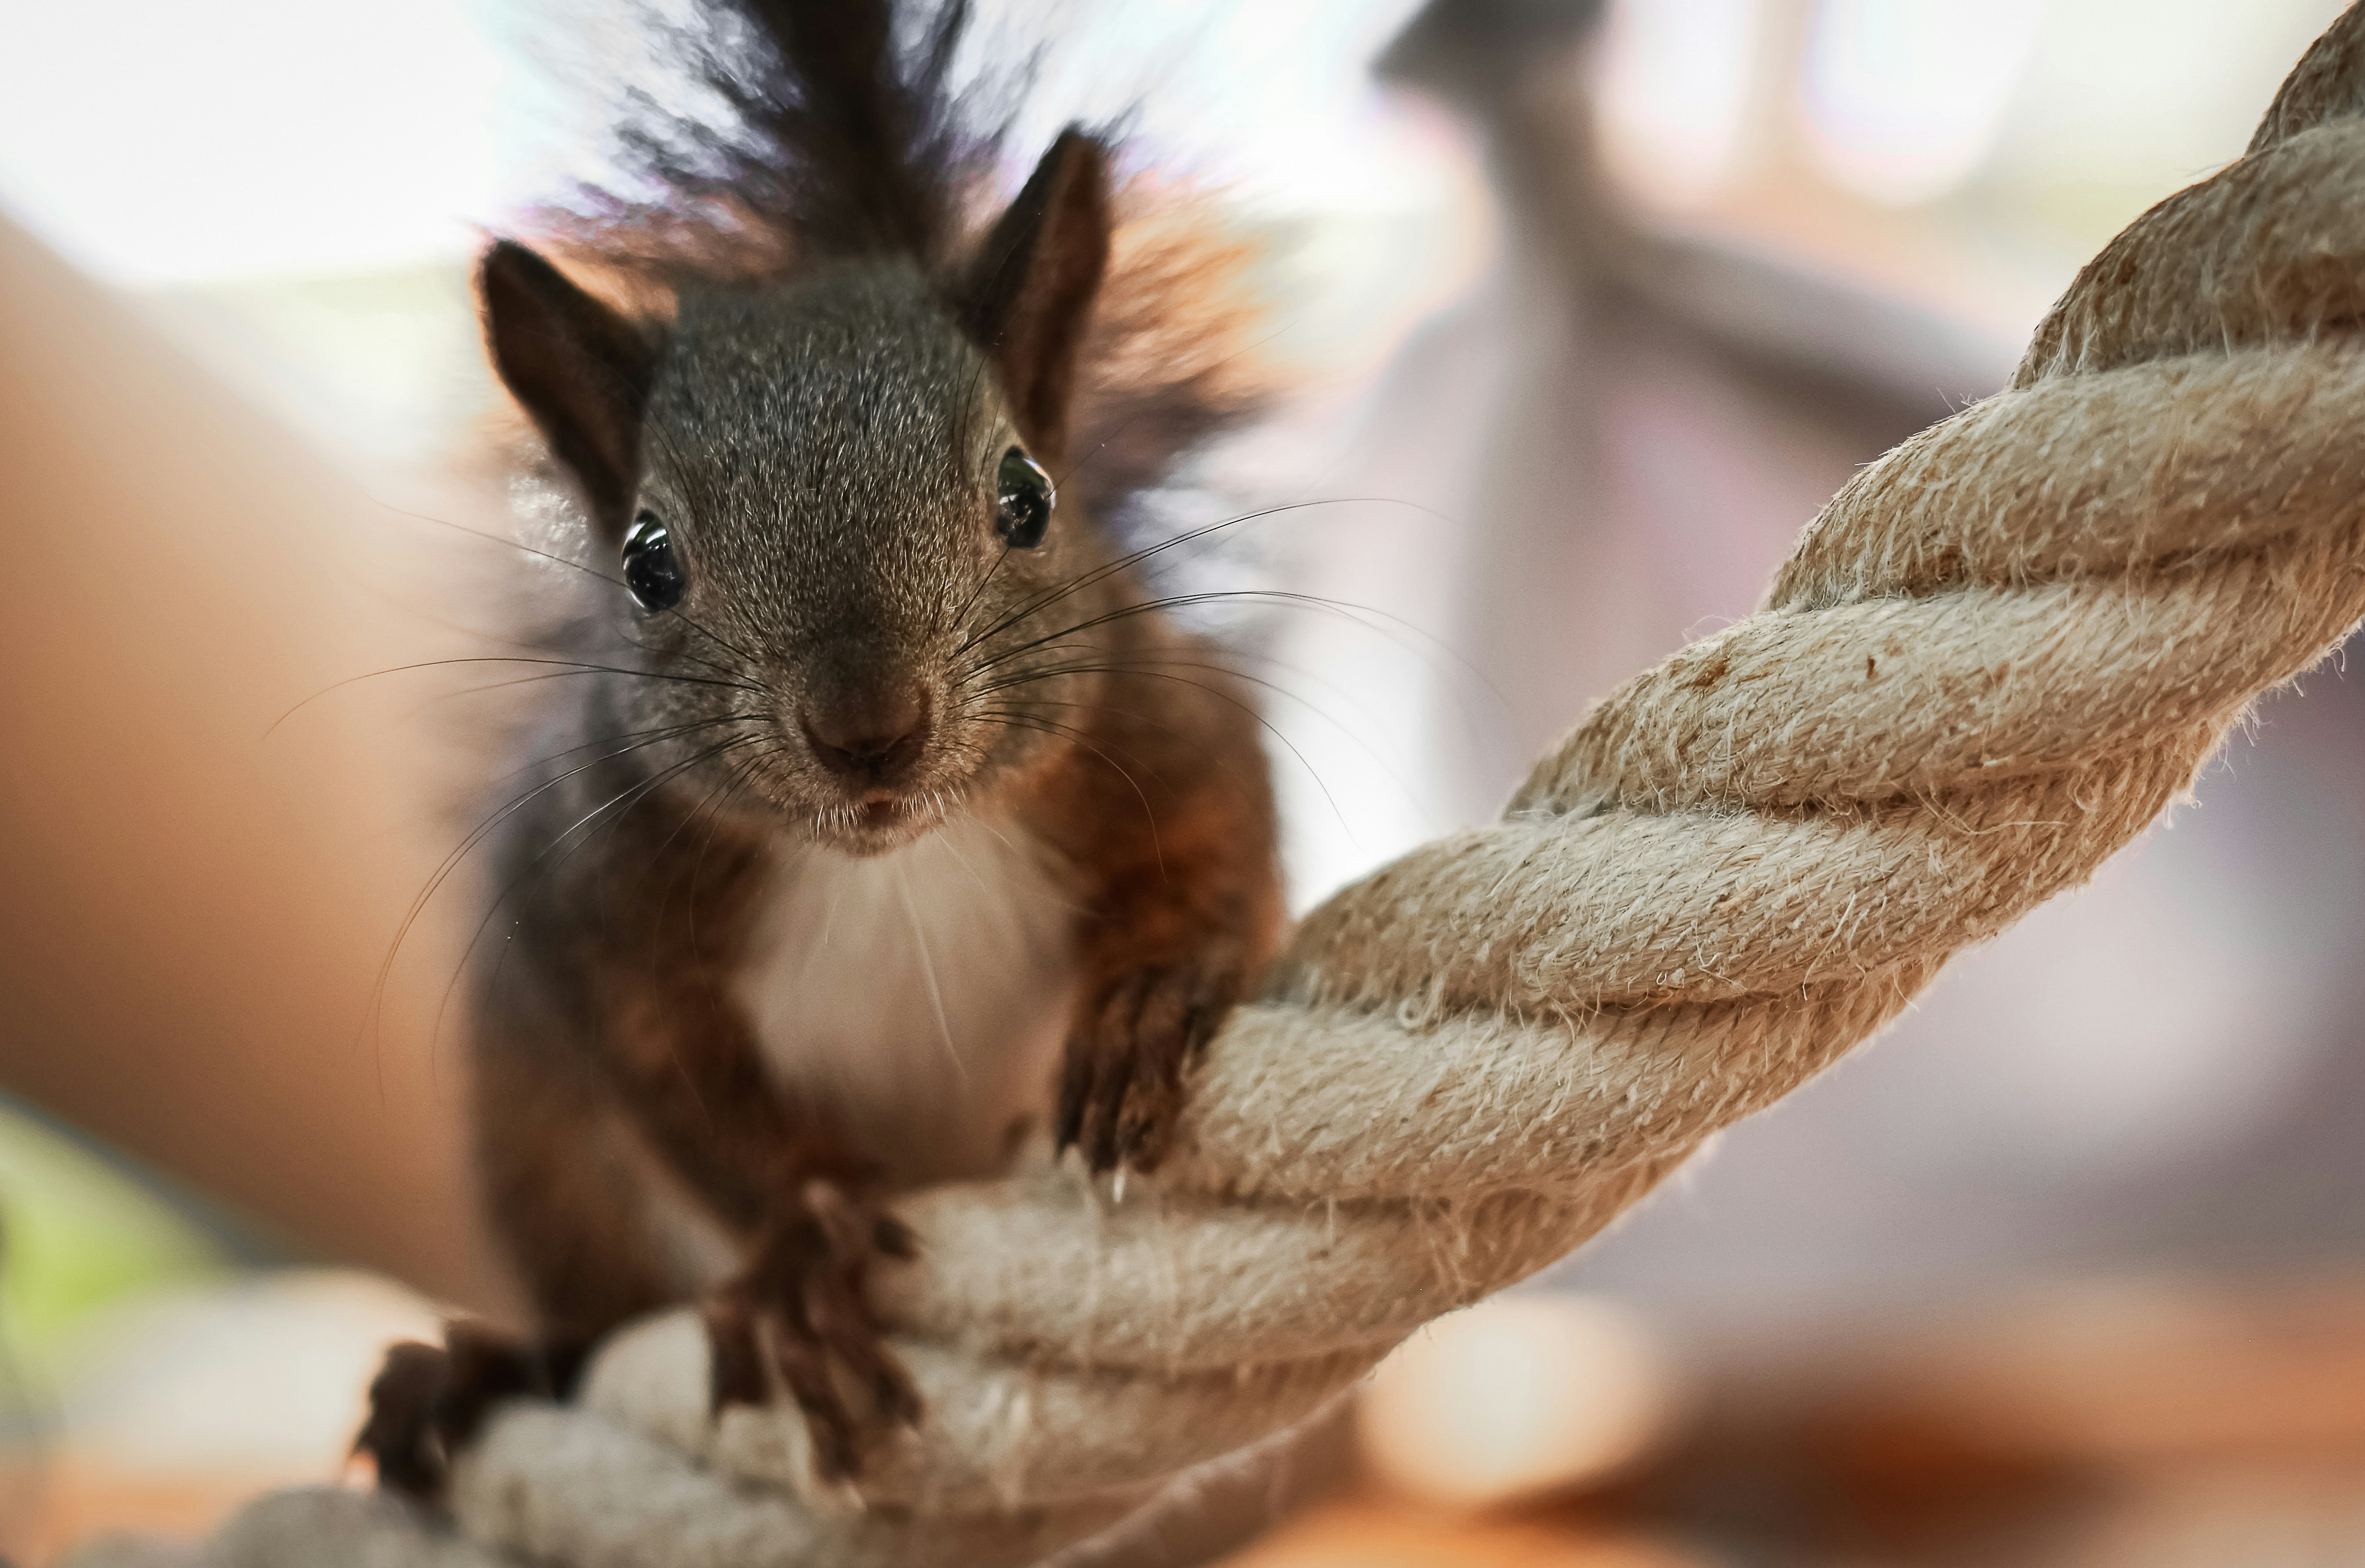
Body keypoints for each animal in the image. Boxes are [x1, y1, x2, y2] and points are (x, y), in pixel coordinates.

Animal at [357, 0, 1285, 1493]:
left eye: (1028, 496)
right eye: (646, 561)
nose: (869, 731)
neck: (893, 861)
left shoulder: (1168, 729)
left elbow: (1219, 859)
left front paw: (1144, 1002)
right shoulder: (590, 897)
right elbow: (683, 1092)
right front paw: (799, 1251)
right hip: (555, 1182)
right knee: (590, 1325)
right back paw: (475, 1374)